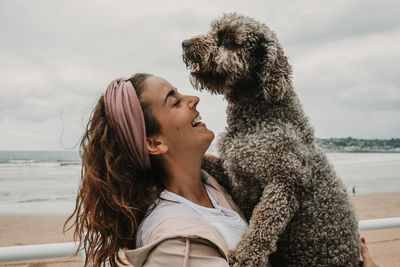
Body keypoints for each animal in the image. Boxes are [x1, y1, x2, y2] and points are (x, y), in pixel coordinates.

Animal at [183, 13, 360, 267]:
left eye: (228, 38)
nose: (185, 44)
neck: (259, 118)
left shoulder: (285, 179)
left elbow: (264, 222)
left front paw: (245, 255)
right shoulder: (233, 171)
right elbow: (207, 160)